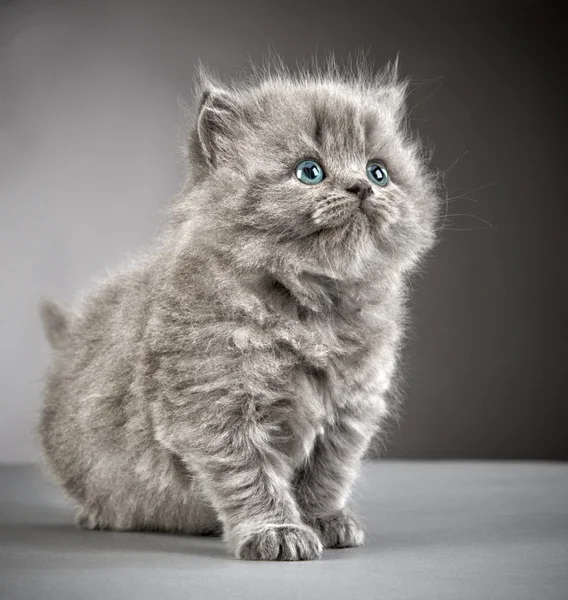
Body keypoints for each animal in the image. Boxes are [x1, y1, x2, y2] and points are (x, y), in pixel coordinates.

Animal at [38, 58, 440, 560]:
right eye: (310, 171)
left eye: (378, 171)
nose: (361, 187)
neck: (312, 308)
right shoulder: (215, 403)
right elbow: (251, 475)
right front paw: (278, 531)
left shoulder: (350, 411)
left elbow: (327, 474)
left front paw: (323, 520)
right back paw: (99, 514)